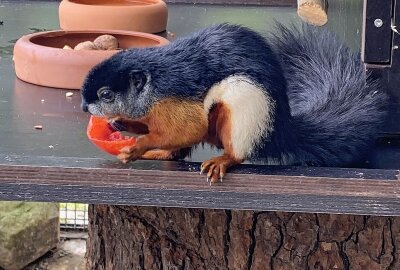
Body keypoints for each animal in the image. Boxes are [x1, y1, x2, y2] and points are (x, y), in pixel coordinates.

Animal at [80, 23, 388, 184]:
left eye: (106, 94)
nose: (84, 107)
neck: (155, 85)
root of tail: (280, 130)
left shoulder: (177, 103)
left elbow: (186, 130)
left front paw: (138, 145)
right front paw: (121, 123)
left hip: (244, 113)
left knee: (236, 151)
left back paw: (222, 160)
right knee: (176, 154)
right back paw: (159, 154)